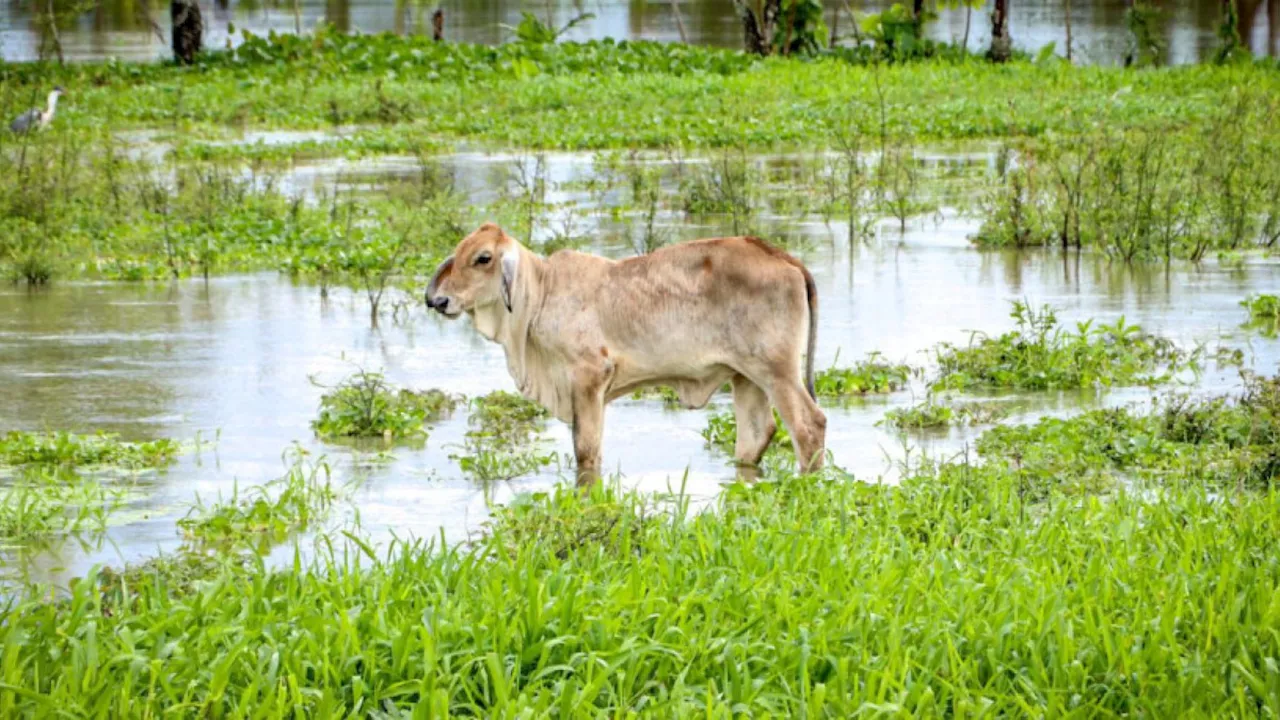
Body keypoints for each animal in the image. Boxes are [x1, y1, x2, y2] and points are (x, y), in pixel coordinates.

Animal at [427, 222, 829, 481]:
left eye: (483, 258)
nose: (438, 301)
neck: (541, 293)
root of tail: (781, 256)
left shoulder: (589, 379)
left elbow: (586, 451)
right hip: (745, 377)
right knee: (757, 435)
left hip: (777, 372)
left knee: (809, 426)